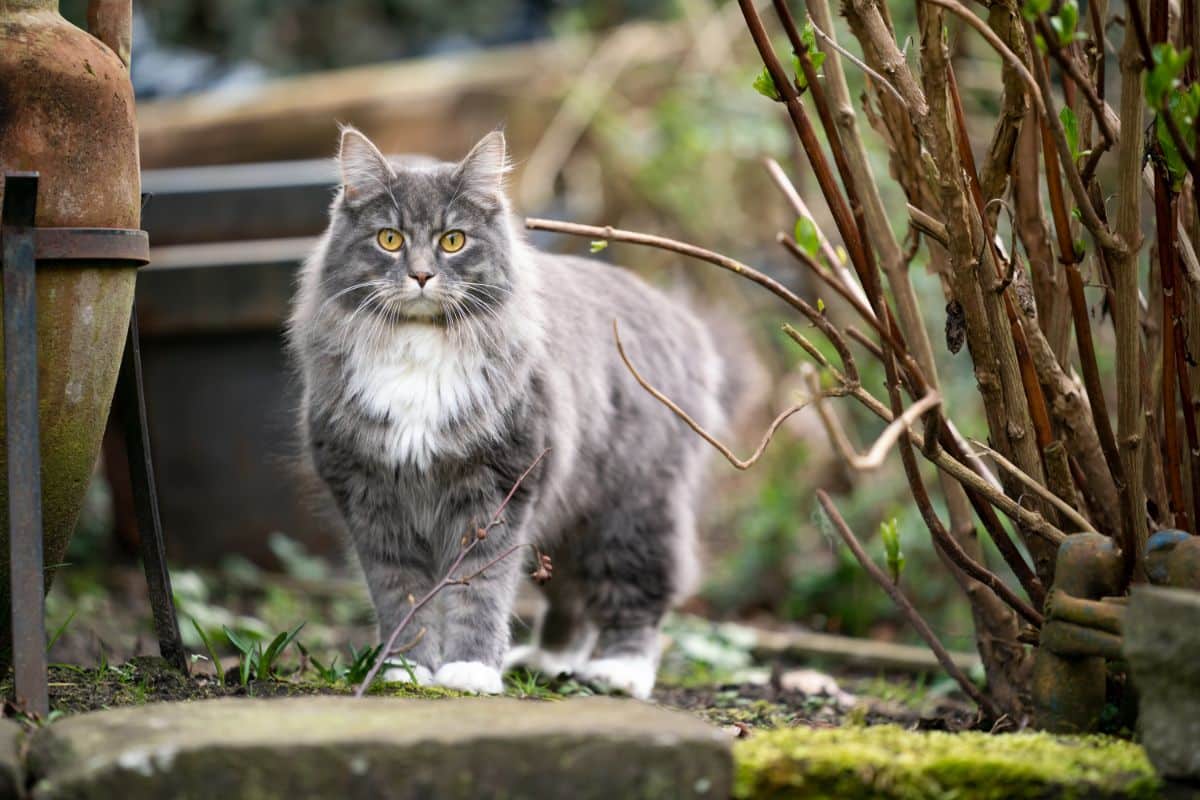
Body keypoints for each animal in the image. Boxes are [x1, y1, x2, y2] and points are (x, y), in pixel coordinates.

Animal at [289, 128, 734, 695]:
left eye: (453, 241)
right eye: (389, 239)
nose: (421, 276)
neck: (419, 347)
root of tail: (678, 316)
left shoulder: (496, 492)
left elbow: (479, 591)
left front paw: (470, 670)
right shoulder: (372, 500)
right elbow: (401, 596)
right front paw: (405, 669)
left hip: (630, 511)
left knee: (638, 596)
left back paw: (618, 671)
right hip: (565, 521)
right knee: (570, 600)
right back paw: (548, 659)